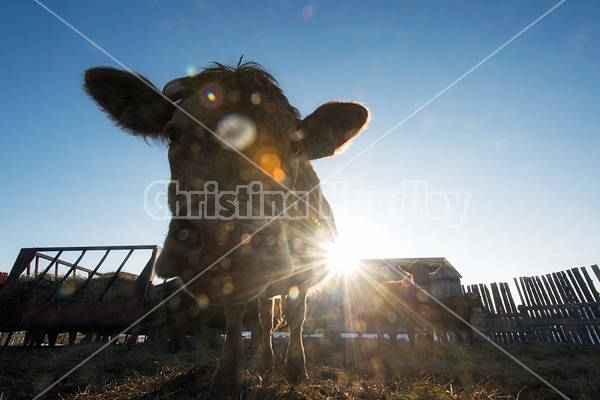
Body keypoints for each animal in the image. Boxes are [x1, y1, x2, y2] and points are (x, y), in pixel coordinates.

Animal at [82, 61, 368, 390]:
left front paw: (296, 370)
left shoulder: (307, 270)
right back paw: (265, 361)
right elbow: (236, 315)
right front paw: (229, 375)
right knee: (263, 317)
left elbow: (296, 316)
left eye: (295, 147)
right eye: (173, 132)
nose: (224, 240)